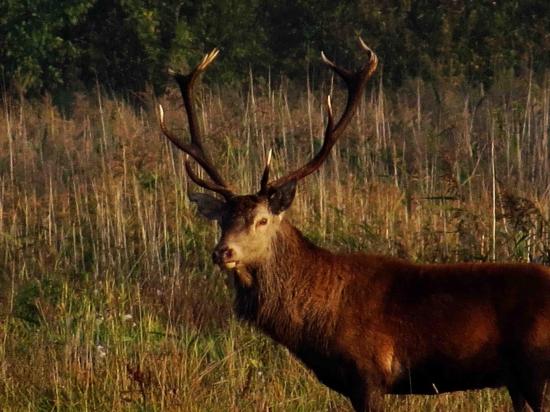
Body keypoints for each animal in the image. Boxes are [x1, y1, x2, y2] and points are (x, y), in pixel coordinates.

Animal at [160, 39, 550, 412]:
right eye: (222, 220)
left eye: (262, 220)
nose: (222, 252)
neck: (316, 321)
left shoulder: (368, 374)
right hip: (516, 379)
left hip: (535, 369)